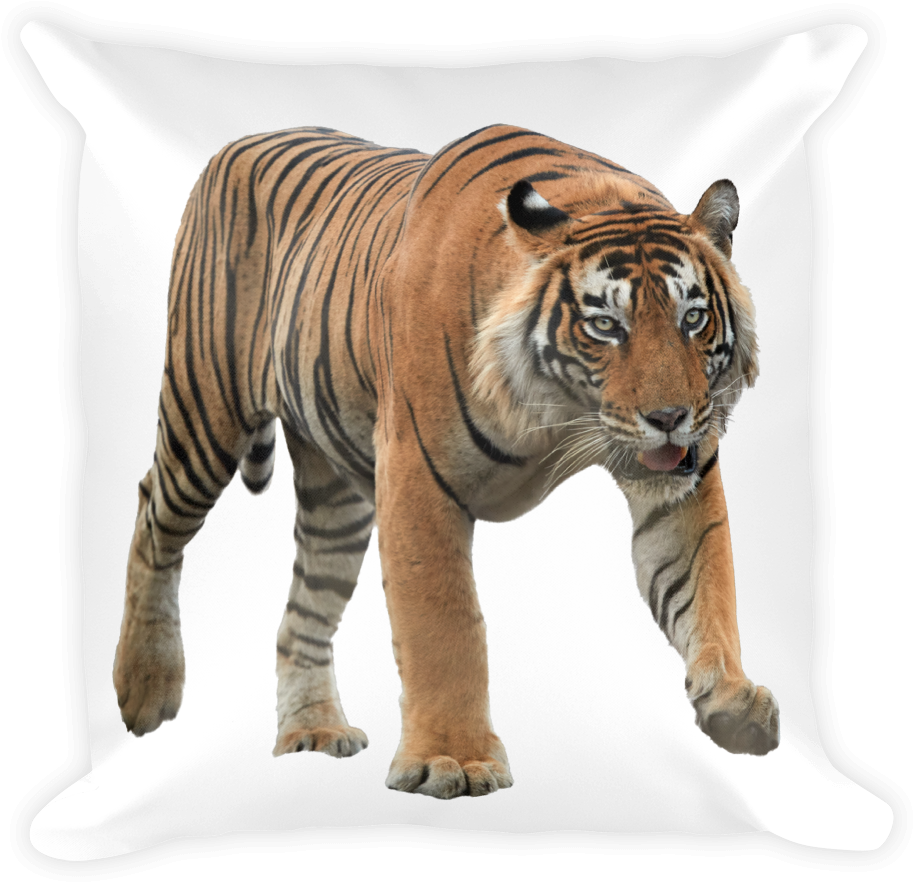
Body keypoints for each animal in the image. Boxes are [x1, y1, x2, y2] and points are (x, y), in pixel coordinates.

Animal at [113, 124, 779, 800]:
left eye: (692, 318)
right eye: (604, 325)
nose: (669, 417)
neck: (559, 410)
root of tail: (238, 142)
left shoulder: (682, 485)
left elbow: (705, 584)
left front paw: (732, 699)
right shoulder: (416, 478)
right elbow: (445, 625)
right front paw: (452, 759)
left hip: (337, 501)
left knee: (303, 610)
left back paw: (314, 730)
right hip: (204, 411)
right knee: (153, 513)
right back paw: (144, 688)